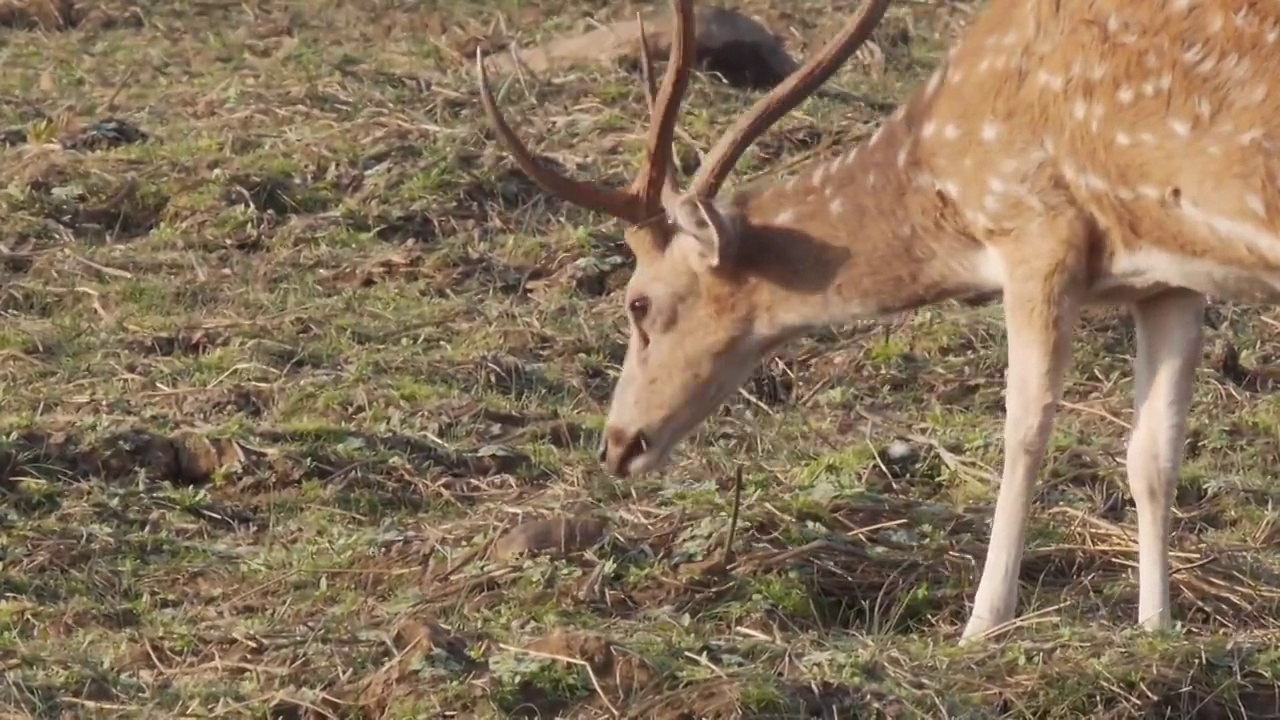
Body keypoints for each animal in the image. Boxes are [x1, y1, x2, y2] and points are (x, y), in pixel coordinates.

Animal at [476, 0, 1280, 638]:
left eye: (637, 302)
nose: (617, 446)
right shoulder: (1167, 278)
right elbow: (1153, 457)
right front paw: (1156, 629)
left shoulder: (1034, 229)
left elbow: (1024, 429)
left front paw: (982, 624)